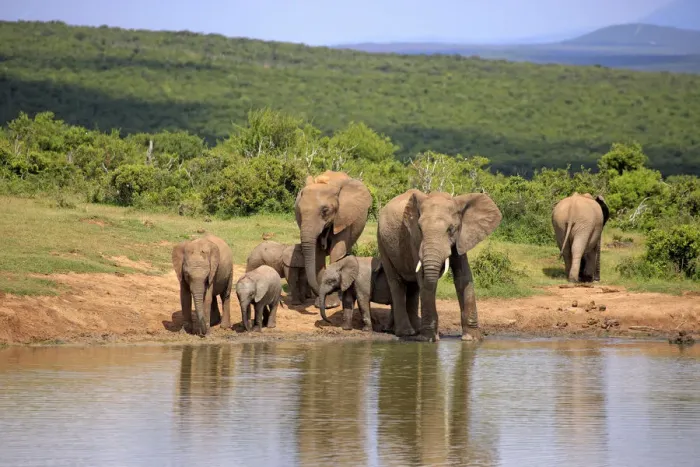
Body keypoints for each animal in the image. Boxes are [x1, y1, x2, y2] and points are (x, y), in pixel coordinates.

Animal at [294, 170, 373, 310]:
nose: (319, 292)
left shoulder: (344, 216)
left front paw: (332, 303)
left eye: (325, 210)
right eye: (299, 211)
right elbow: (318, 254)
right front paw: (325, 303)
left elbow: (337, 251)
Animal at [377, 190, 502, 342]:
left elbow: (463, 277)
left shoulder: (461, 237)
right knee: (396, 283)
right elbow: (424, 279)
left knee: (413, 287)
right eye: (420, 228)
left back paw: (413, 330)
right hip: (381, 241)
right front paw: (429, 339)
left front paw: (472, 339)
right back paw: (406, 332)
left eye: (451, 229)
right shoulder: (414, 239)